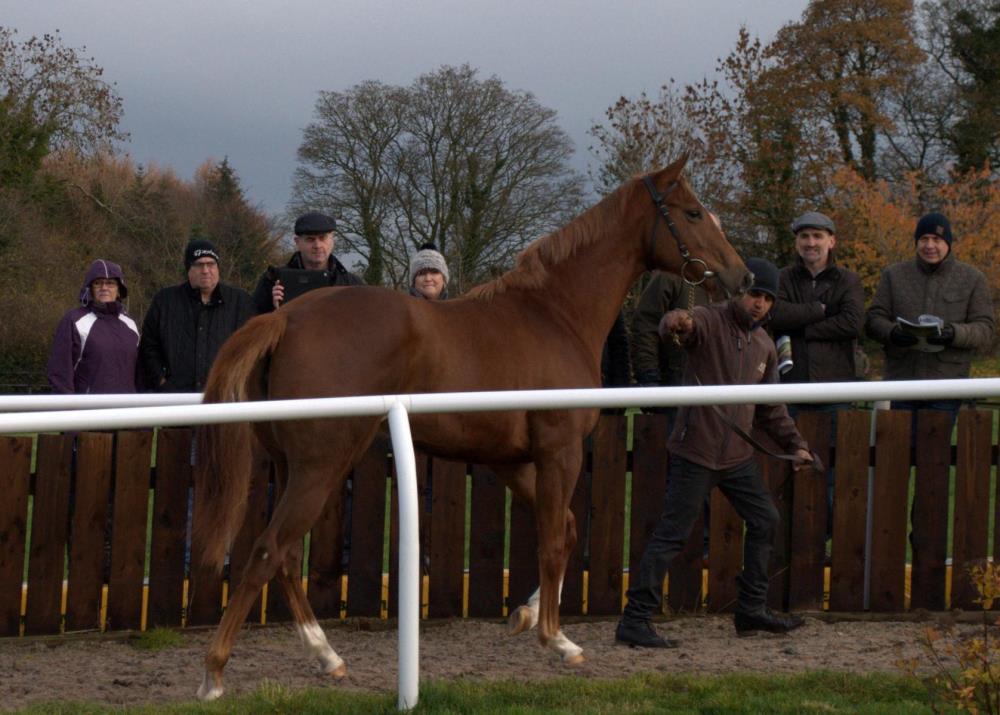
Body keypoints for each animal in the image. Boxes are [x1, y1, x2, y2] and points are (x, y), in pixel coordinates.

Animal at [192, 155, 751, 700]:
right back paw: (214, 673)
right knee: (269, 549)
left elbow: (568, 530)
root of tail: (285, 318)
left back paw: (326, 655)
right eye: (693, 213)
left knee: (286, 555)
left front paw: (525, 615)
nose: (741, 278)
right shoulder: (560, 451)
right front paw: (557, 639)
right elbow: (552, 542)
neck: (555, 314)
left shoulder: (511, 461)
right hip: (321, 466)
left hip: (295, 467)